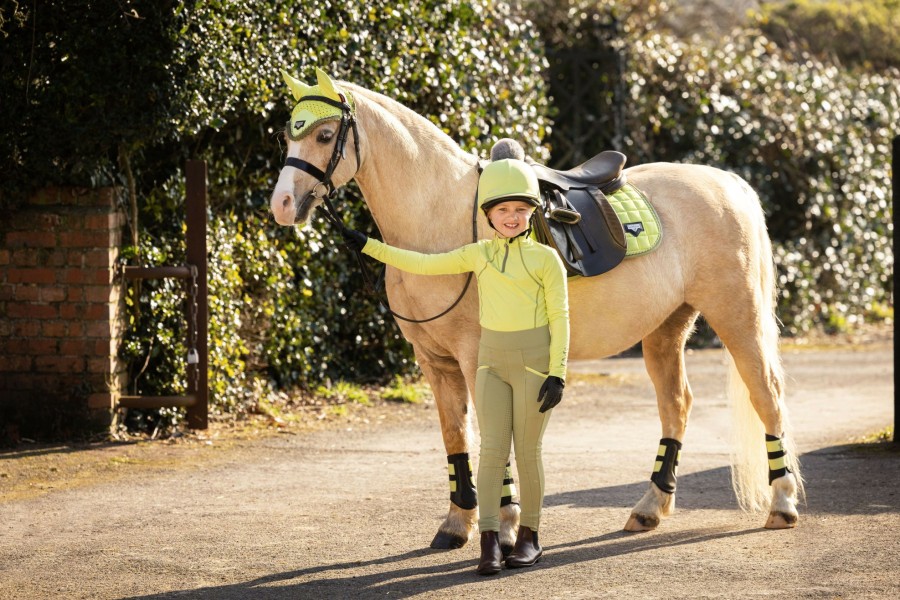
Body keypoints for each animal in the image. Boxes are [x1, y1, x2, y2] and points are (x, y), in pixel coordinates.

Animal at [268, 69, 800, 548]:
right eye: (287, 133)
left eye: (324, 134)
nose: (283, 204)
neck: (441, 217)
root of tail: (729, 183)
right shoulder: (435, 363)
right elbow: (456, 438)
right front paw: (457, 525)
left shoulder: (476, 358)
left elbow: (492, 437)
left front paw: (502, 526)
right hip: (666, 328)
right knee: (677, 405)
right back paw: (650, 508)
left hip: (737, 317)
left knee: (768, 397)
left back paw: (783, 503)